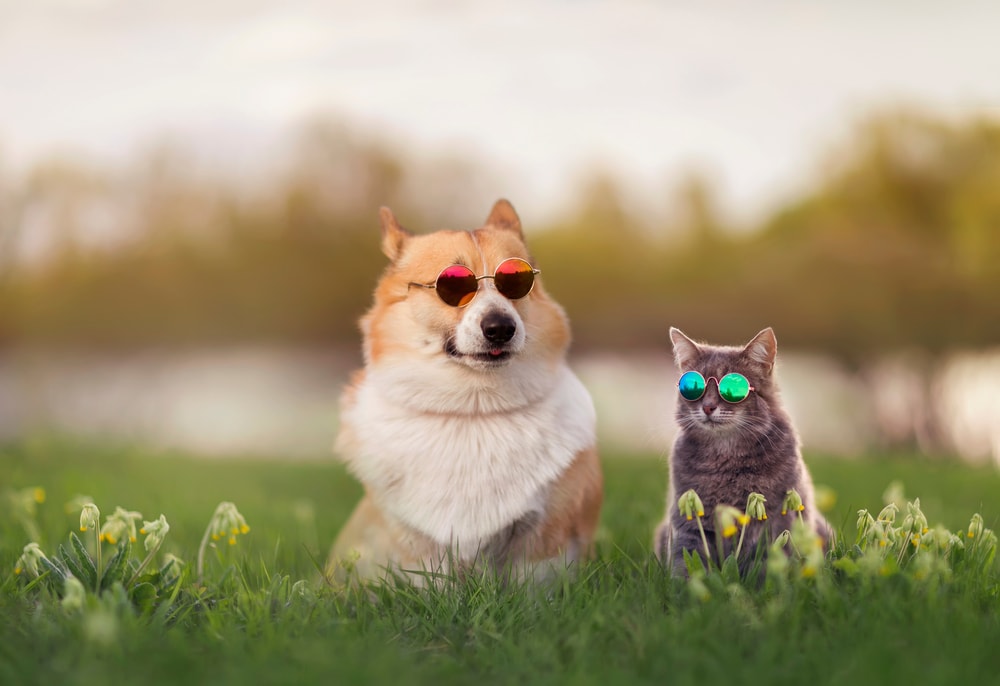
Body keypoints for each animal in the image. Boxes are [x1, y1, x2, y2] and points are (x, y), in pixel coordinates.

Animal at [328, 199, 604, 584]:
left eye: (516, 281)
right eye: (453, 283)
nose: (500, 328)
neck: (473, 408)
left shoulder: (543, 541)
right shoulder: (418, 545)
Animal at [656, 328, 828, 576]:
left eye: (733, 388)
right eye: (693, 387)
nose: (708, 406)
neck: (725, 457)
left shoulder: (778, 518)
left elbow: (769, 563)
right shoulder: (688, 519)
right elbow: (687, 561)